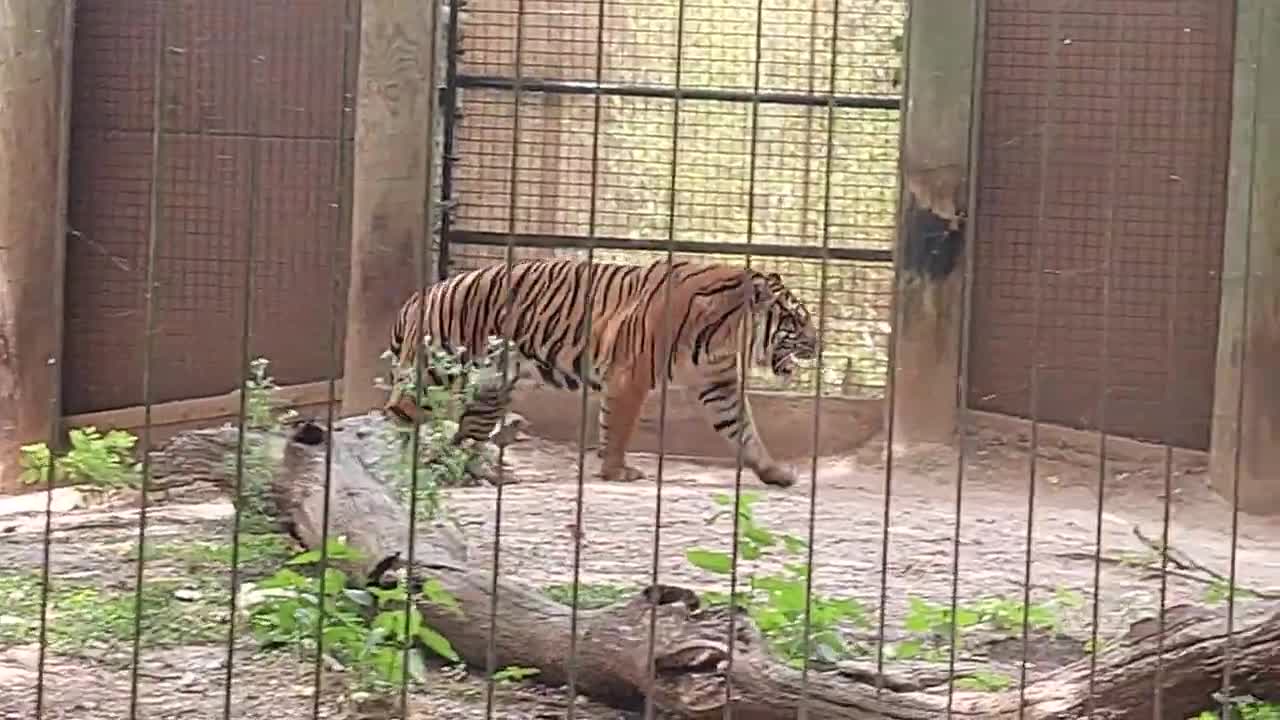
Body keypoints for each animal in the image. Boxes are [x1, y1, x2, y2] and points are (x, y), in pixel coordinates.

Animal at [381, 254, 819, 484]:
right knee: (398, 415)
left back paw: (483, 473)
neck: (727, 333)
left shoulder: (719, 385)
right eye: (798, 321)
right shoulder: (631, 376)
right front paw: (616, 470)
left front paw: (774, 472)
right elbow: (620, 427)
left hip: (490, 387)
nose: (819, 343)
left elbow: (744, 429)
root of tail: (421, 295)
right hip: (438, 372)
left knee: (468, 432)